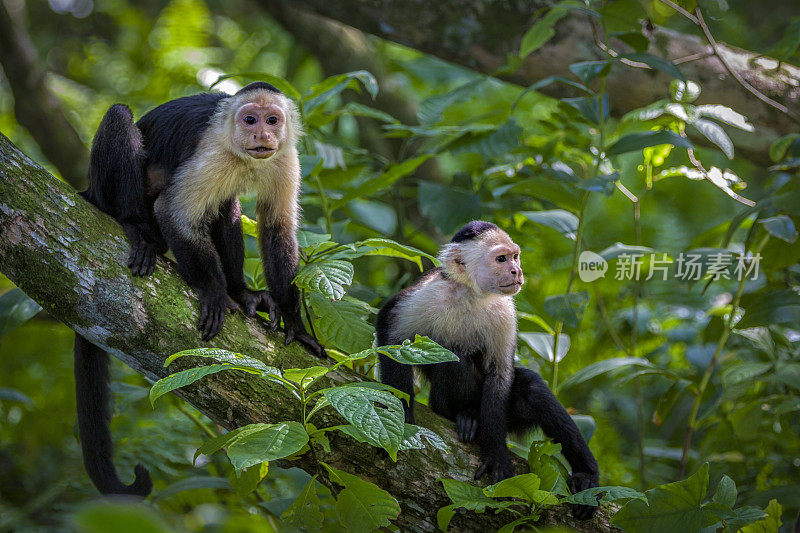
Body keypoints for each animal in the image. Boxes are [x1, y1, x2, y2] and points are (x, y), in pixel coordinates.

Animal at [376, 221, 600, 520]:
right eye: (501, 259)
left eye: (515, 257)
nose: (516, 271)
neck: (473, 294)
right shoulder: (429, 292)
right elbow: (391, 333)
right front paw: (400, 412)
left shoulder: (504, 309)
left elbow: (500, 372)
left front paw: (495, 454)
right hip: (439, 401)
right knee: (455, 356)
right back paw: (464, 414)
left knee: (531, 389)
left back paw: (586, 474)